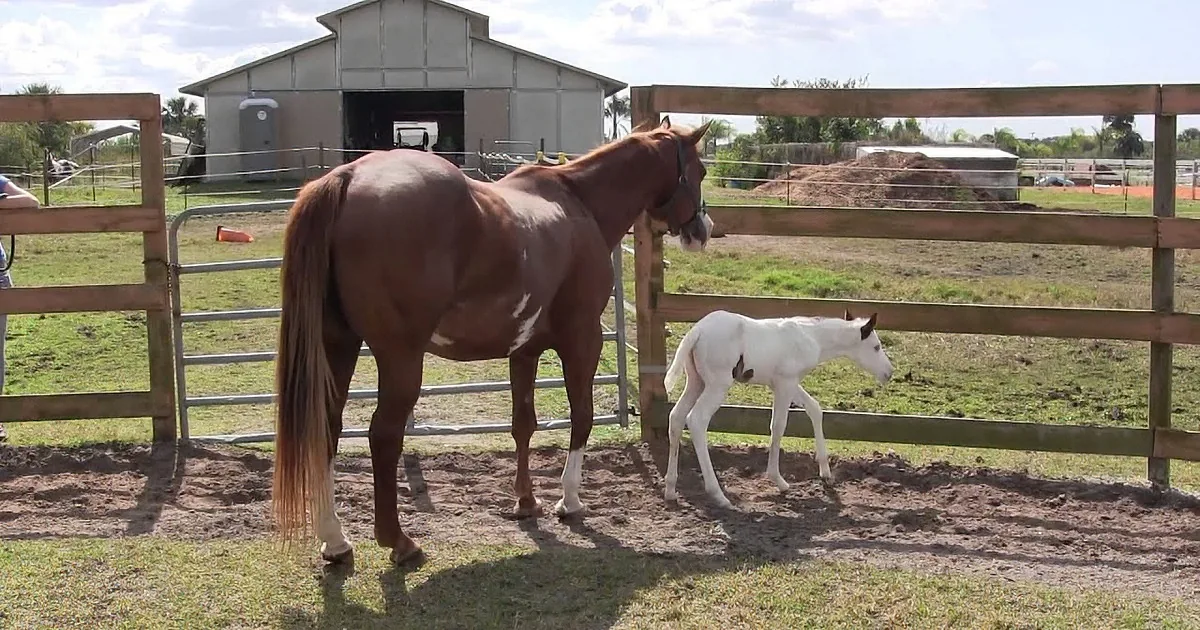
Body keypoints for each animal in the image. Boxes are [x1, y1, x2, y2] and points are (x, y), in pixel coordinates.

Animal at [271, 116, 715, 567]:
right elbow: (582, 417)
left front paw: (526, 501)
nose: (702, 231)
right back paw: (399, 541)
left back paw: (335, 540)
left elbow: (523, 424)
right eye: (699, 171)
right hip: (399, 358)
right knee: (383, 435)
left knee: (327, 428)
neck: (580, 204)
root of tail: (348, 176)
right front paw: (569, 500)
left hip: (338, 346)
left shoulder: (525, 351)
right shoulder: (583, 340)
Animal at [661, 309, 894, 508]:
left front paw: (825, 471)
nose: (889, 372)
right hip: (717, 385)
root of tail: (697, 330)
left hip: (696, 382)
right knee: (697, 420)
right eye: (876, 346)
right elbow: (779, 425)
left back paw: (670, 488)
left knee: (676, 417)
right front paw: (778, 480)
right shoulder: (785, 383)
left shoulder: (787, 383)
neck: (811, 336)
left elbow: (814, 409)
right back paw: (718, 494)